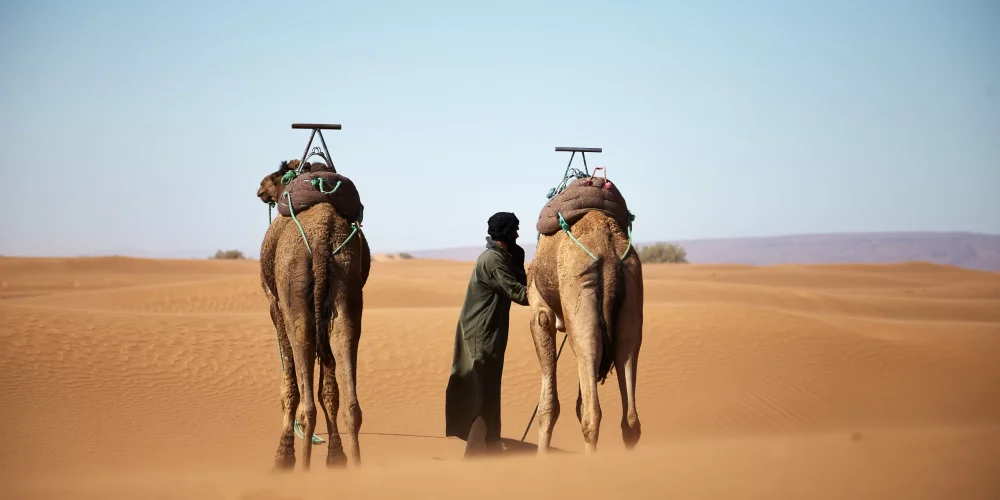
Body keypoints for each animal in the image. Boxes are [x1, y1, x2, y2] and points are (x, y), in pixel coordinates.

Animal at [257, 160, 371, 470]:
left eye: (277, 174)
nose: (260, 187)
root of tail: (322, 237)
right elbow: (329, 389)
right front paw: (337, 457)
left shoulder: (275, 306)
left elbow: (290, 386)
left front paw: (282, 458)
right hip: (347, 285)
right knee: (345, 345)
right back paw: (356, 463)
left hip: (294, 291)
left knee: (303, 353)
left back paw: (302, 466)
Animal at [526, 210, 643, 454]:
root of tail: (608, 250)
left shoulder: (540, 312)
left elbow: (548, 407)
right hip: (631, 293)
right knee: (630, 419)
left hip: (579, 292)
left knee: (592, 415)